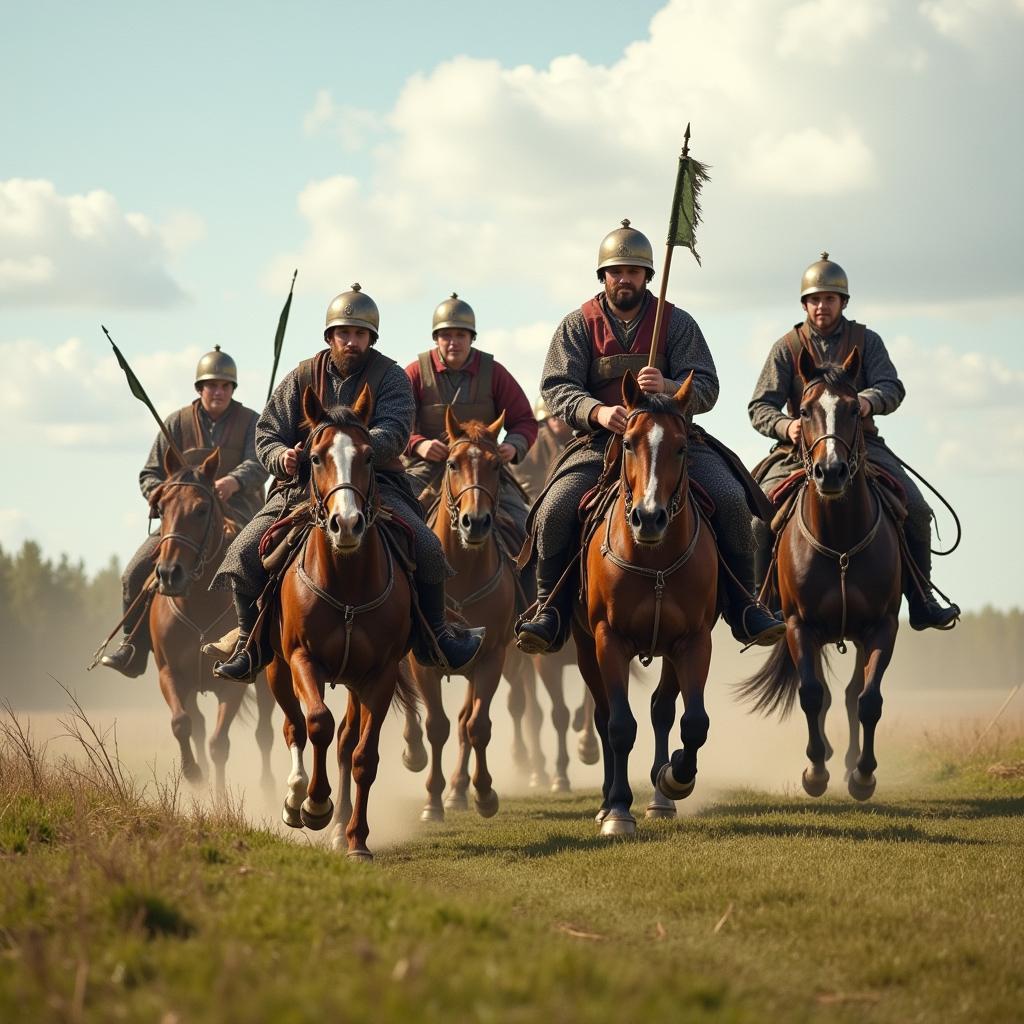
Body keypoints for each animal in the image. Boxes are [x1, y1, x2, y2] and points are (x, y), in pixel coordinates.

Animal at [148, 450, 276, 798]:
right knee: (198, 725)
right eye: (160, 508)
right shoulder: (170, 674)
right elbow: (182, 723)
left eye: (201, 509)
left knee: (264, 732)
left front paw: (219, 799)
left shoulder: (231, 683)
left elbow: (220, 743)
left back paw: (268, 789)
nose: (169, 574)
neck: (199, 604)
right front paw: (194, 775)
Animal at [272, 387, 419, 860]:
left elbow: (363, 757)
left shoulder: (380, 674)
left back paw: (339, 828)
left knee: (344, 741)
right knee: (295, 727)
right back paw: (295, 799)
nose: (348, 524)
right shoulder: (302, 659)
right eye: (315, 457)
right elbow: (316, 722)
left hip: (354, 682)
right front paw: (314, 805)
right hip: (275, 669)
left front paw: (356, 839)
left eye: (369, 456)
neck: (347, 583)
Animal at [397, 403, 512, 819]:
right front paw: (432, 800)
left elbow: (476, 726)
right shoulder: (423, 662)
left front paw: (484, 793)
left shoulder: (492, 658)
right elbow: (436, 725)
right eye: (451, 463)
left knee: (465, 722)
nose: (474, 522)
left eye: (496, 465)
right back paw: (414, 754)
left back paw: (460, 790)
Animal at [577, 372, 720, 835]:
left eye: (681, 446)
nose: (649, 518)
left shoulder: (692, 641)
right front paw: (619, 811)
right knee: (605, 717)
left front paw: (675, 776)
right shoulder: (608, 639)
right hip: (584, 648)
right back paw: (607, 802)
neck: (652, 556)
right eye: (626, 442)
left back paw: (661, 798)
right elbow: (620, 725)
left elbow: (694, 721)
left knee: (661, 709)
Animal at [741, 346, 901, 798]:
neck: (841, 541)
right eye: (806, 411)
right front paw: (814, 772)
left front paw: (863, 774)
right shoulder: (800, 626)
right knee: (827, 694)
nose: (831, 472)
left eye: (851, 408)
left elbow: (868, 700)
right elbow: (812, 694)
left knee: (851, 694)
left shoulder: (882, 626)